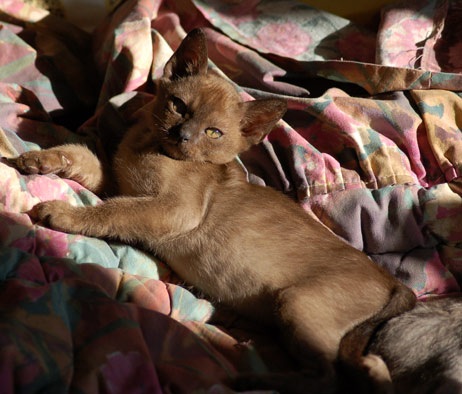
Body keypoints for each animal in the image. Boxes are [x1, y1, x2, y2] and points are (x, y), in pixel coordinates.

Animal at [11, 28, 416, 394]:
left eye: (213, 133)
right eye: (178, 106)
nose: (182, 135)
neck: (148, 147)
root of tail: (393, 281)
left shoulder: (171, 208)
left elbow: (113, 212)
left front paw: (59, 213)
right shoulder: (120, 181)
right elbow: (82, 157)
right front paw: (37, 160)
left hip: (297, 303)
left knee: (329, 379)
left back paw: (252, 381)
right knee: (354, 373)